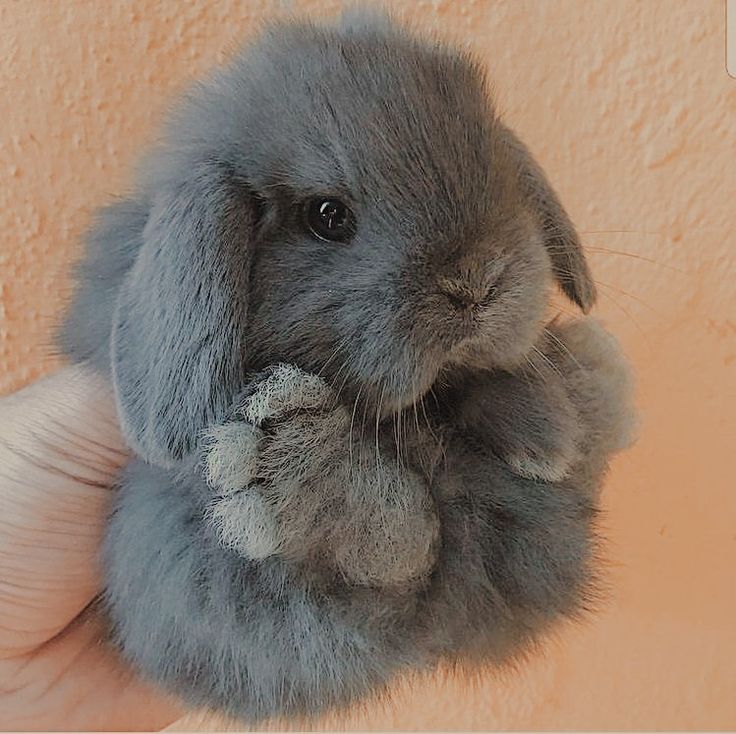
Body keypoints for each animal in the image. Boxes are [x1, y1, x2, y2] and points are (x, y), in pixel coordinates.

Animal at [56, 8, 632, 728]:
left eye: (495, 165)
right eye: (327, 216)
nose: (476, 282)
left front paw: (543, 428)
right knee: (405, 548)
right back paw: (295, 470)